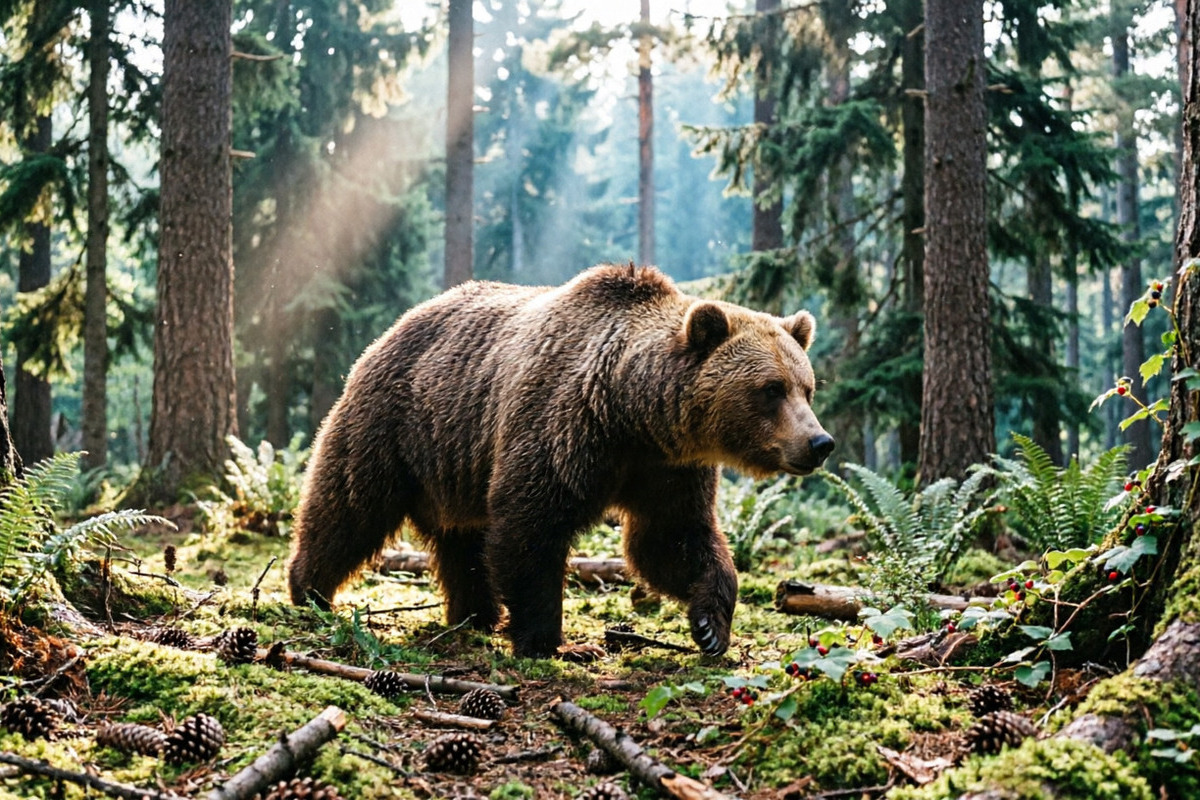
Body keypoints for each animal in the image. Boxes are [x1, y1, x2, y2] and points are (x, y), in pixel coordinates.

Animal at [287, 263, 833, 658]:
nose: (819, 442)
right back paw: (309, 590)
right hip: (396, 424)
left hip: (456, 460)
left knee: (463, 540)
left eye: (807, 387)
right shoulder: (563, 428)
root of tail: (392, 328)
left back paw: (475, 614)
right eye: (770, 389)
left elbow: (671, 538)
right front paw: (548, 641)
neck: (631, 411)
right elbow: (531, 530)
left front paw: (710, 625)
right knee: (349, 506)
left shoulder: (666, 468)